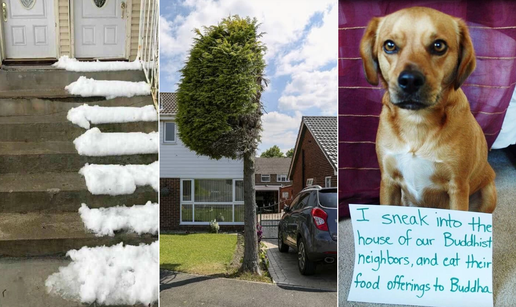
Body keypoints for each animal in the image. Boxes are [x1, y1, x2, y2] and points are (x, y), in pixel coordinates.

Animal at [358, 7, 496, 214]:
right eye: (389, 45)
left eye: (439, 46)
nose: (410, 81)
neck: (417, 122)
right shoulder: (388, 181)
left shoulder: (458, 186)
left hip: (488, 192)